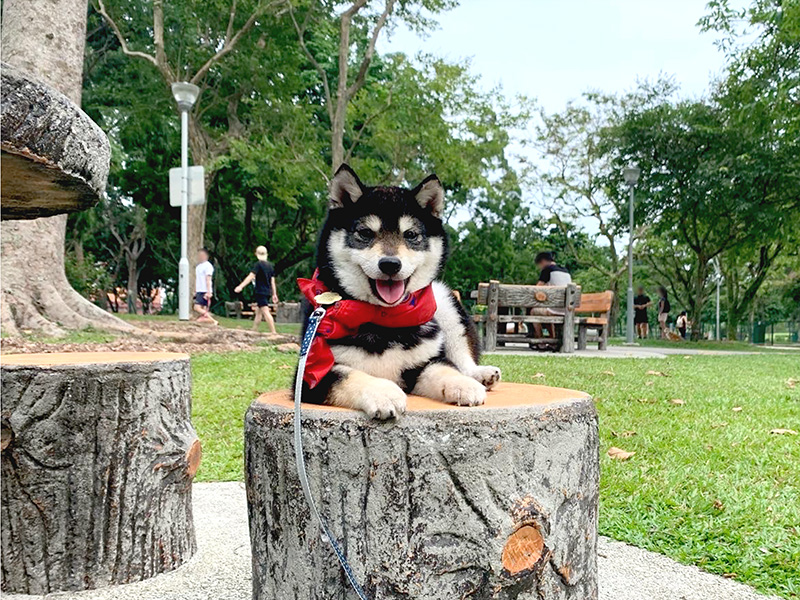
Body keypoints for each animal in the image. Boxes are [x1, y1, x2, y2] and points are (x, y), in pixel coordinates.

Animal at [296, 163, 500, 418]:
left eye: (410, 235)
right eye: (365, 233)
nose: (390, 264)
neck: (383, 319)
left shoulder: (423, 363)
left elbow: (444, 367)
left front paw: (462, 384)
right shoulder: (311, 375)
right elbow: (349, 375)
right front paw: (382, 392)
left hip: (445, 303)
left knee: (462, 359)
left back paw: (479, 375)